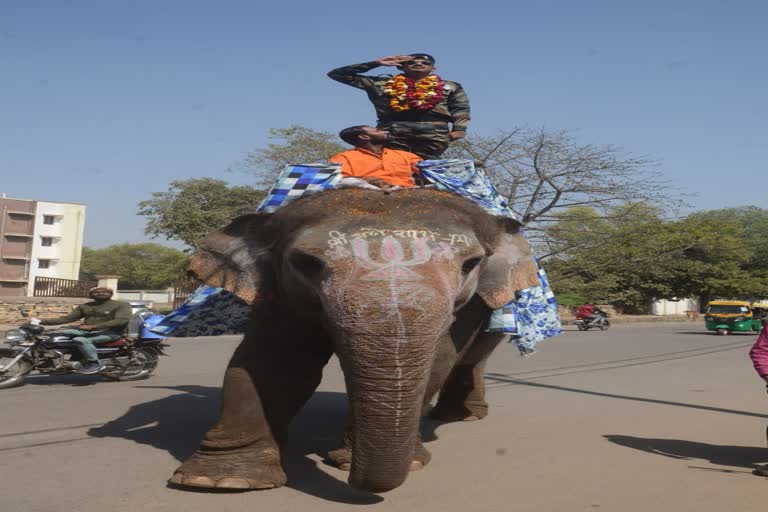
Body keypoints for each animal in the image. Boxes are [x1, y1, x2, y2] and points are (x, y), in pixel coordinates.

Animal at [170, 187, 540, 492]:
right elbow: (277, 362)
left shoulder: (469, 305)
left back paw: (462, 417)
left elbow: (439, 360)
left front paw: (387, 461)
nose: (352, 479)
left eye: (471, 264)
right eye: (306, 263)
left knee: (471, 360)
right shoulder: (279, 289)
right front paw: (220, 481)